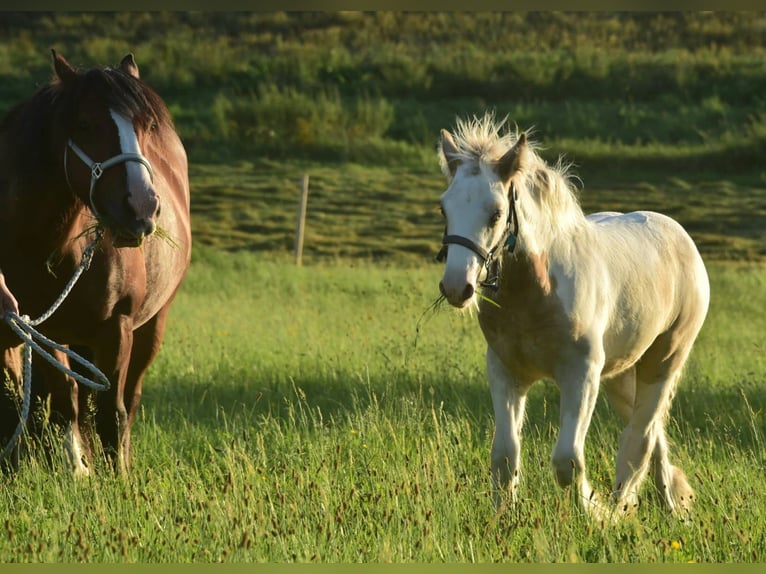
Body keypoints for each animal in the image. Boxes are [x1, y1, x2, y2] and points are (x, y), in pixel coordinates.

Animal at [0, 50, 191, 475]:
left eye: (146, 125)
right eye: (85, 124)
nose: (140, 208)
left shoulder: (116, 328)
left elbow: (111, 412)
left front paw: (116, 477)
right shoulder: (40, 328)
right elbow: (62, 401)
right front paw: (75, 468)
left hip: (153, 325)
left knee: (129, 398)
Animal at [435, 113, 709, 520]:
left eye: (496, 213)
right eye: (445, 209)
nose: (457, 287)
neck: (535, 294)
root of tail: (680, 237)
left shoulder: (581, 374)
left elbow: (567, 460)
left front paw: (593, 513)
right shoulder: (505, 371)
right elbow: (504, 455)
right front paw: (504, 518)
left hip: (663, 360)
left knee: (640, 438)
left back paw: (631, 508)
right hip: (620, 373)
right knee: (654, 435)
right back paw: (669, 504)